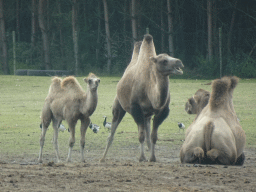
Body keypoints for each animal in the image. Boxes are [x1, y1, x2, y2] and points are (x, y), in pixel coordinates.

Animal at [100, 34, 184, 162]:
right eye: (164, 61)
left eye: (170, 56)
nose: (179, 62)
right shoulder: (136, 108)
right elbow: (141, 136)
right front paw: (142, 157)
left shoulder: (162, 111)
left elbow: (153, 136)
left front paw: (153, 158)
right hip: (119, 106)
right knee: (112, 132)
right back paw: (103, 158)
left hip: (147, 115)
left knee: (147, 133)